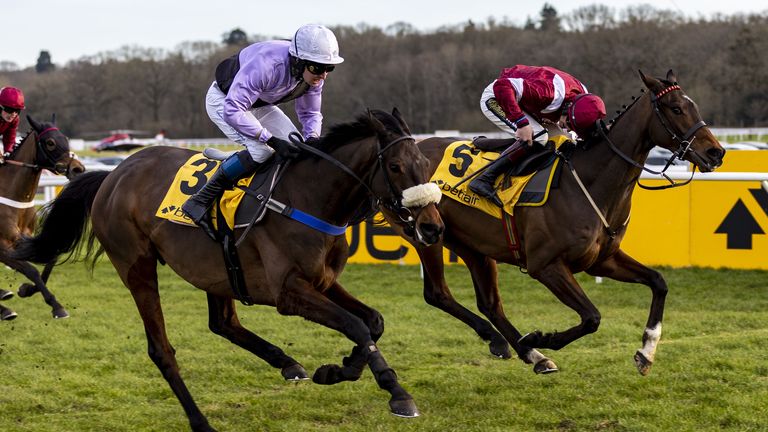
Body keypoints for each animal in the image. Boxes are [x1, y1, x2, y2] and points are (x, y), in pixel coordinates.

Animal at [0, 115, 84, 320]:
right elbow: (31, 269)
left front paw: (26, 290)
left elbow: (49, 262)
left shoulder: (27, 239)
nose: (78, 169)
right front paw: (57, 306)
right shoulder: (2, 245)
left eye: (66, 139)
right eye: (50, 143)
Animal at [10, 109, 444, 430]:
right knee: (161, 349)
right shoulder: (288, 292)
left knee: (223, 323)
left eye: (425, 162)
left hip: (213, 269)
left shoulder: (322, 281)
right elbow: (355, 325)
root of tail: (112, 176)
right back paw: (200, 421)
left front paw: (338, 369)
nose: (432, 227)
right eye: (396, 165)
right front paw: (396, 392)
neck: (309, 199)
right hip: (136, 265)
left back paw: (289, 364)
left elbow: (373, 321)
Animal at [384, 70, 728, 374]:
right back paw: (515, 344)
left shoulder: (603, 260)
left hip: (473, 245)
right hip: (427, 233)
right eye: (676, 108)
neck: (588, 182)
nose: (717, 152)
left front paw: (646, 351)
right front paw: (541, 337)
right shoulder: (546, 265)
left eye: (694, 106)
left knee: (490, 303)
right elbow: (592, 317)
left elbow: (658, 282)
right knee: (438, 293)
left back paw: (527, 353)